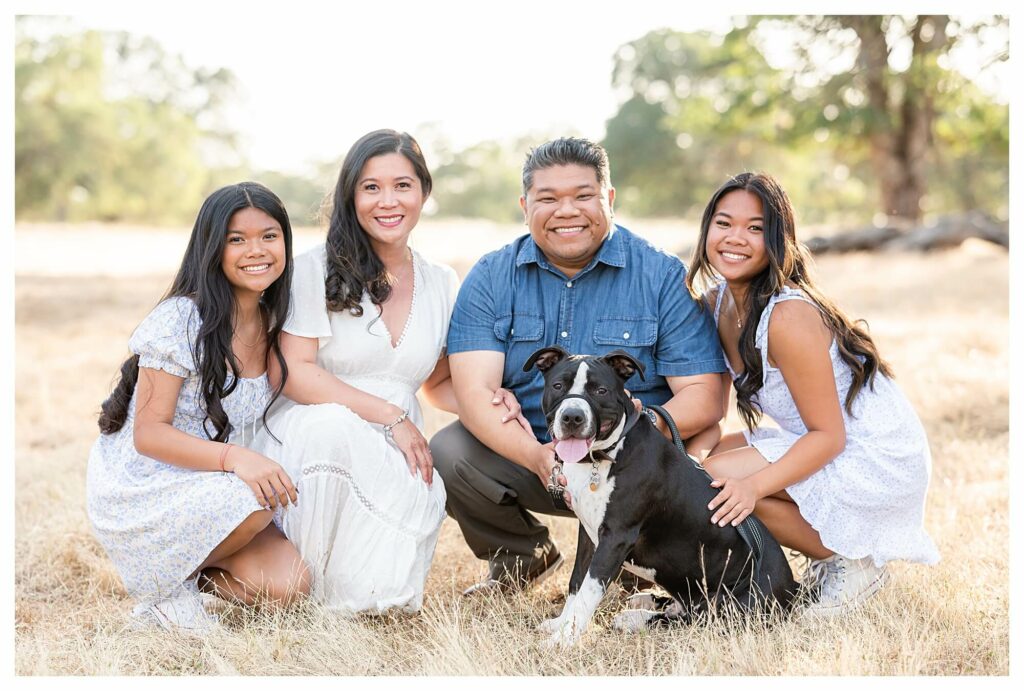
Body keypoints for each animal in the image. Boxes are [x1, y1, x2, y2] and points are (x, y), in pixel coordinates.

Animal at [528, 346, 798, 646]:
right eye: (558, 386)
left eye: (600, 390)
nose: (572, 417)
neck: (606, 454)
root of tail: (793, 588)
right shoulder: (588, 533)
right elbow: (576, 582)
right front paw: (560, 624)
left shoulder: (616, 537)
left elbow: (589, 589)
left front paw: (563, 640)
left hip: (731, 605)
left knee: (693, 620)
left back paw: (635, 618)